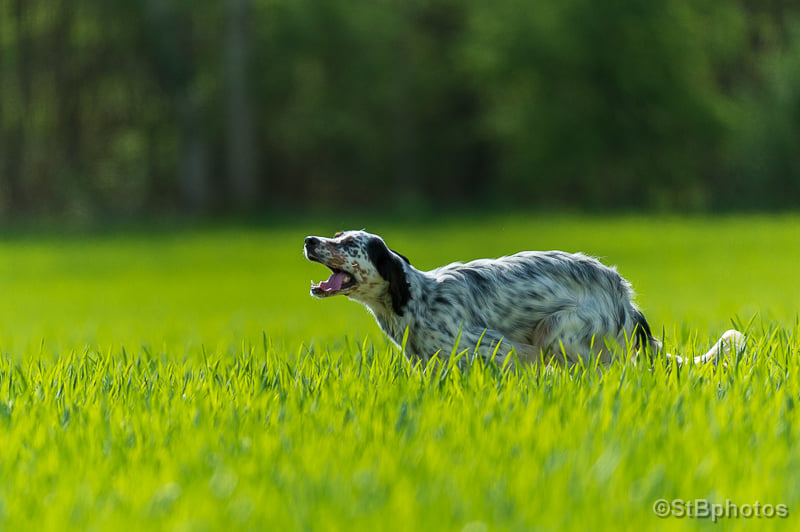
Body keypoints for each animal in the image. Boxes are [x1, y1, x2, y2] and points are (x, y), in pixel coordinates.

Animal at [304, 231, 748, 368]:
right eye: (335, 235)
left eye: (348, 244)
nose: (310, 240)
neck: (418, 299)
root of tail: (623, 294)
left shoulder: (499, 350)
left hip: (558, 335)